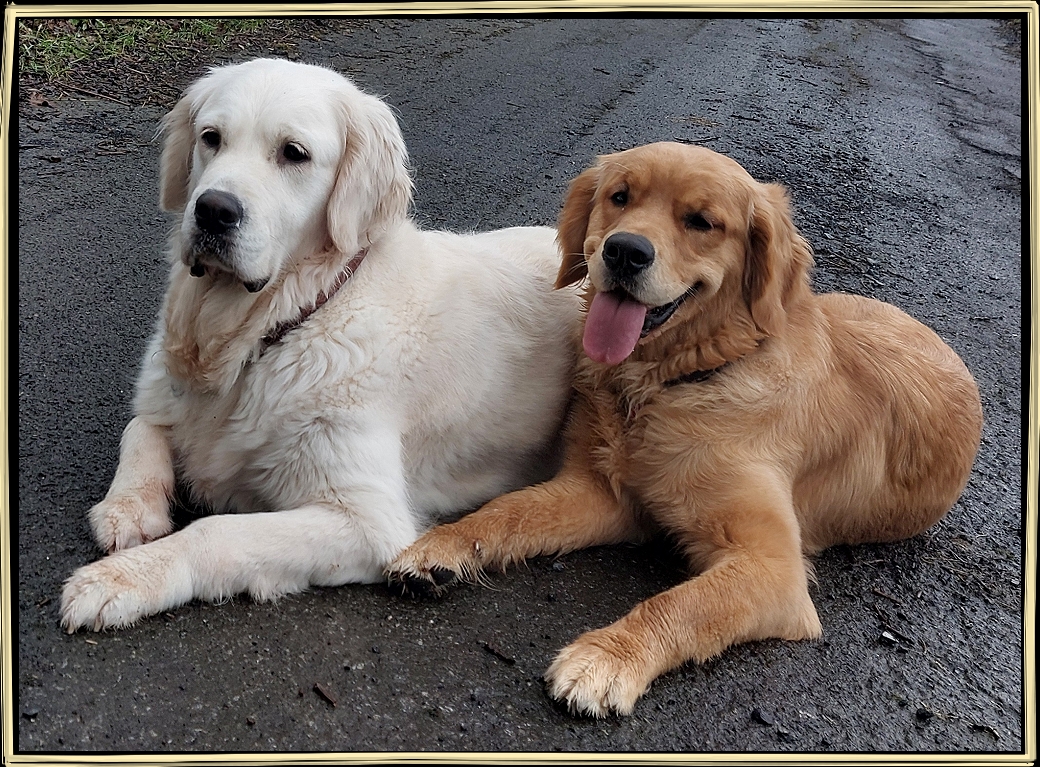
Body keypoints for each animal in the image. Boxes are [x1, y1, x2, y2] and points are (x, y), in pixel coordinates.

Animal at [59, 58, 582, 632]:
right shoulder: (167, 392)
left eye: (294, 153)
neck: (278, 326)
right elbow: (140, 429)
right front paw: (129, 509)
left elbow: (214, 532)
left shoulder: (364, 519)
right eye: (210, 138)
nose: (212, 210)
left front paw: (121, 578)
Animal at [385, 142, 984, 717]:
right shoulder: (603, 493)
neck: (666, 386)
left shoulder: (774, 569)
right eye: (620, 197)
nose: (624, 251)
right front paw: (441, 547)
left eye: (701, 221)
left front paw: (605, 660)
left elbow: (682, 605)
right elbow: (509, 511)